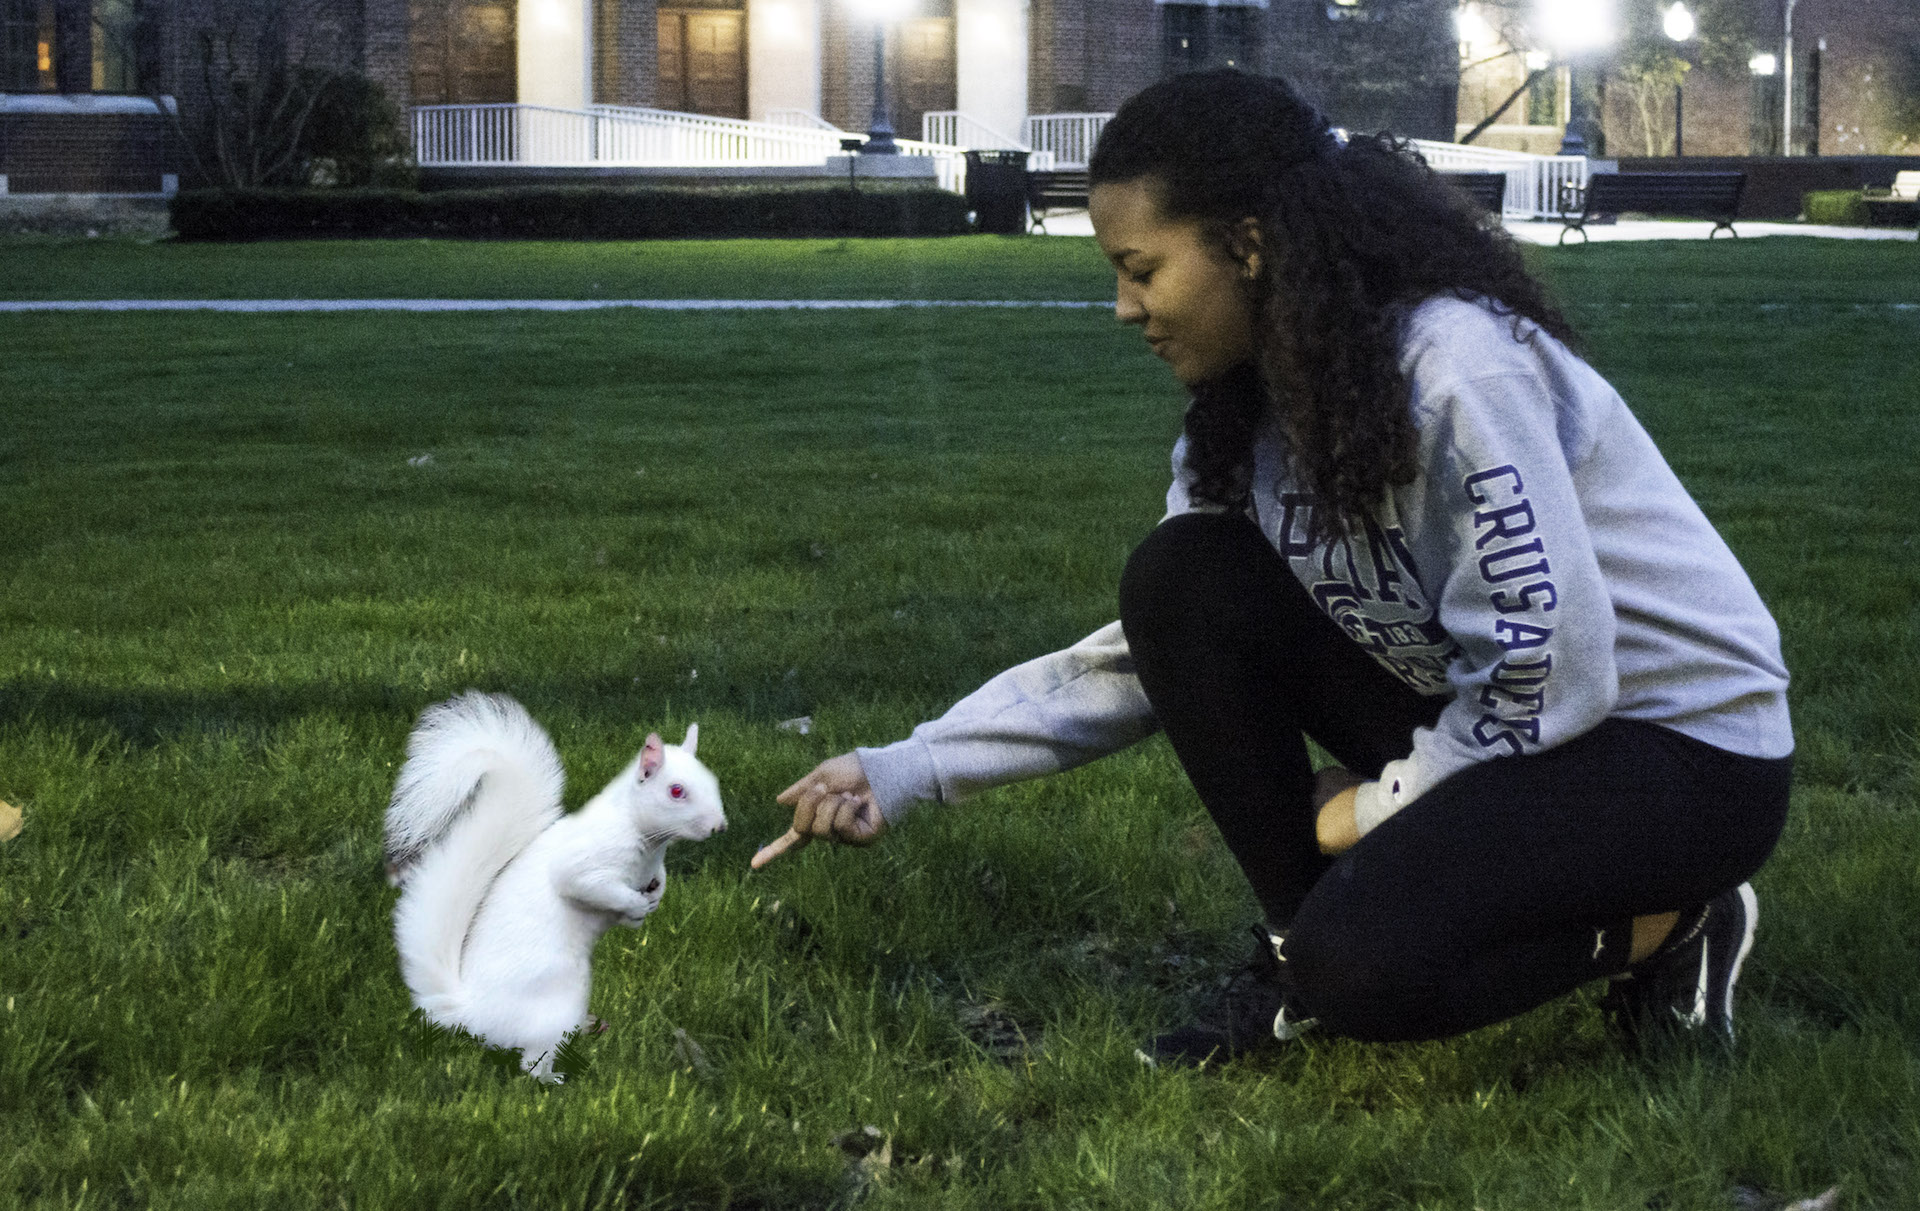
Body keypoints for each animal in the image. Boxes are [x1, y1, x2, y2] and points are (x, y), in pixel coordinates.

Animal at [384, 694, 725, 1082]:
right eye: (676, 791)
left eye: (713, 780)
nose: (719, 826)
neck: (649, 844)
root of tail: (470, 1013)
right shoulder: (584, 864)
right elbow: (584, 884)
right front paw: (636, 906)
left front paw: (654, 898)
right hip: (559, 1000)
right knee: (531, 1063)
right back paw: (556, 1079)